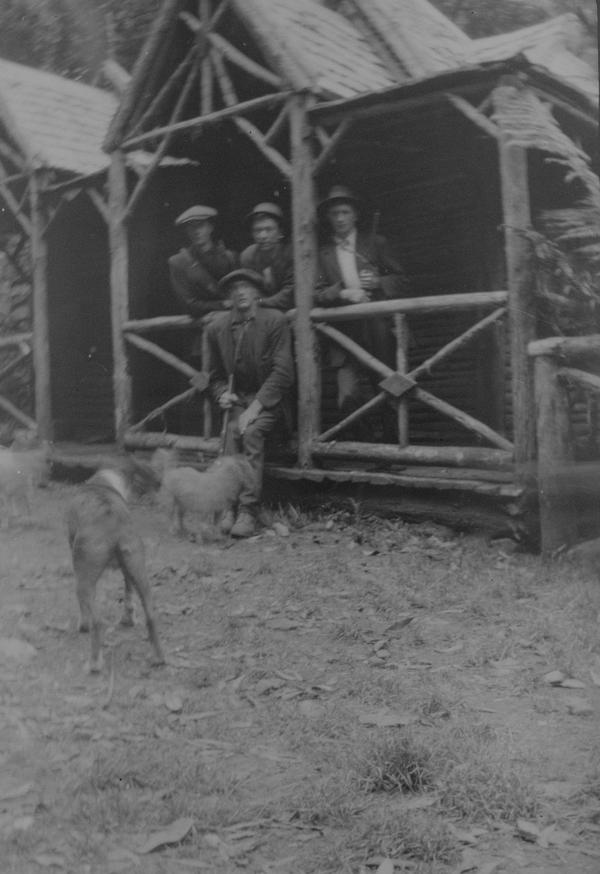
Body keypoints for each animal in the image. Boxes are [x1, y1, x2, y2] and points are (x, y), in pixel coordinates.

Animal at [65, 455, 165, 673]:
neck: (105, 481)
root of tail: (115, 525)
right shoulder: (127, 571)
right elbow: (128, 594)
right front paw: (128, 619)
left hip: (83, 579)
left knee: (96, 621)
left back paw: (94, 662)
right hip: (139, 570)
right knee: (151, 615)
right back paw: (159, 658)